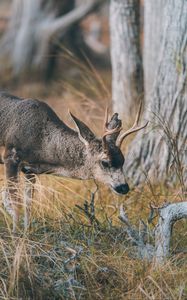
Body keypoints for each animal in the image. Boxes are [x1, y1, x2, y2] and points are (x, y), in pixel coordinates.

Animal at [0, 90, 148, 231]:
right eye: (105, 162)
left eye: (123, 160)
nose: (124, 187)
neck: (41, 143)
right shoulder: (11, 156)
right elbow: (13, 199)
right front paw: (16, 234)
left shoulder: (29, 169)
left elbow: (28, 202)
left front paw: (27, 231)